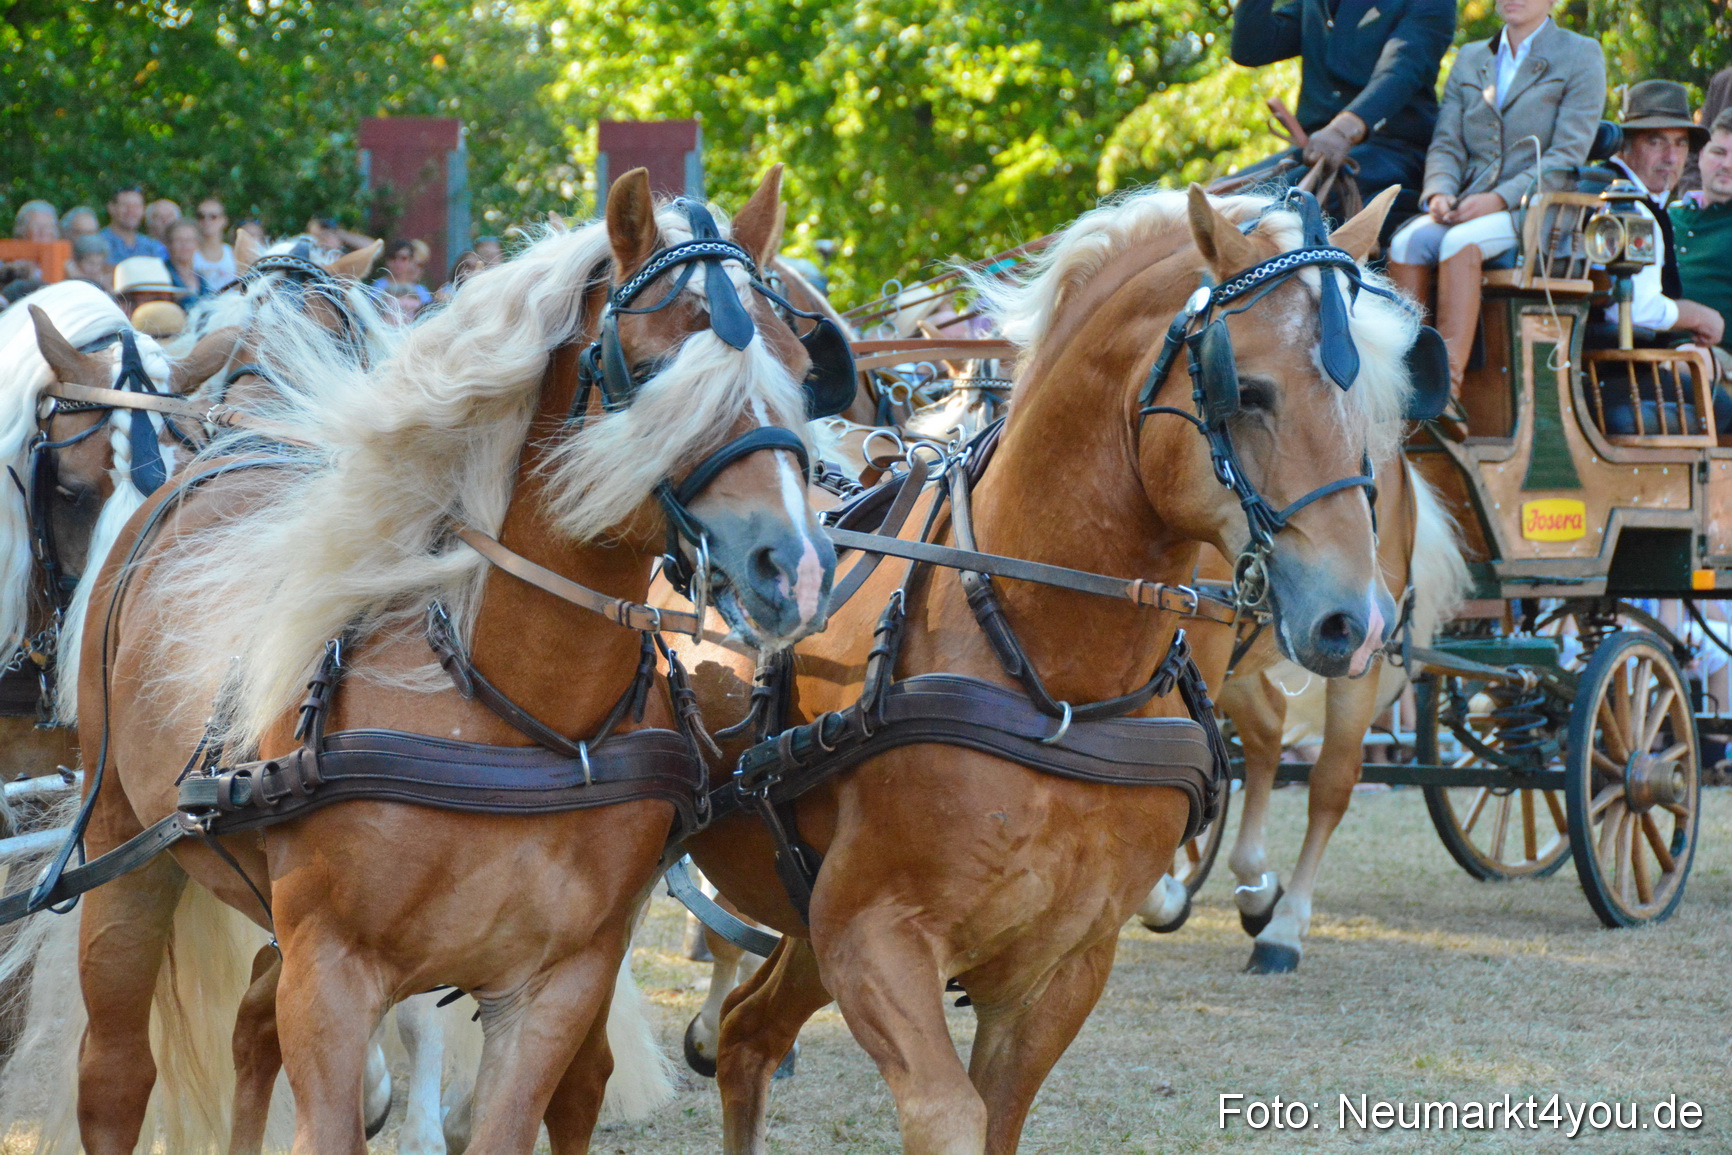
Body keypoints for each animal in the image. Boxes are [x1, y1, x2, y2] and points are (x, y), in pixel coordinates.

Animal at [3, 167, 835, 1155]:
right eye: (648, 363)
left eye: (799, 364)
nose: (792, 566)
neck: (516, 712)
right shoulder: (329, 974)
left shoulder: (555, 985)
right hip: (123, 851)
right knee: (116, 1075)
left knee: (247, 1032)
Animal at [674, 183, 1418, 1154]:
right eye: (1245, 389)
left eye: (1373, 393)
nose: (1355, 619)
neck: (1062, 684)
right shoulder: (871, 933)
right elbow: (949, 1115)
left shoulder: (1063, 962)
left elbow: (998, 1113)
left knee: (745, 1038)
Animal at [1135, 457, 1471, 972]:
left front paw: (1164, 898)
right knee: (1268, 729)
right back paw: (1256, 889)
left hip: (1355, 649)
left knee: (1332, 782)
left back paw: (1283, 930)